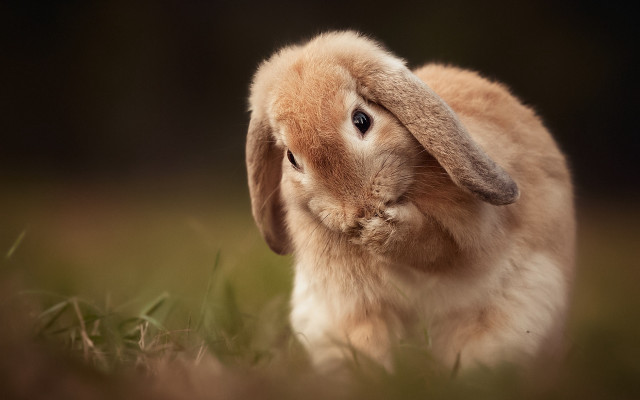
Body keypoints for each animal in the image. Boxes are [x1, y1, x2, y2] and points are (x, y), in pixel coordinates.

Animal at [246, 31, 575, 372]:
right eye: (290, 157)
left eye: (362, 120)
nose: (358, 210)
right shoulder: (358, 304)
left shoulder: (472, 233)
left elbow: (436, 247)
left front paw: (379, 231)